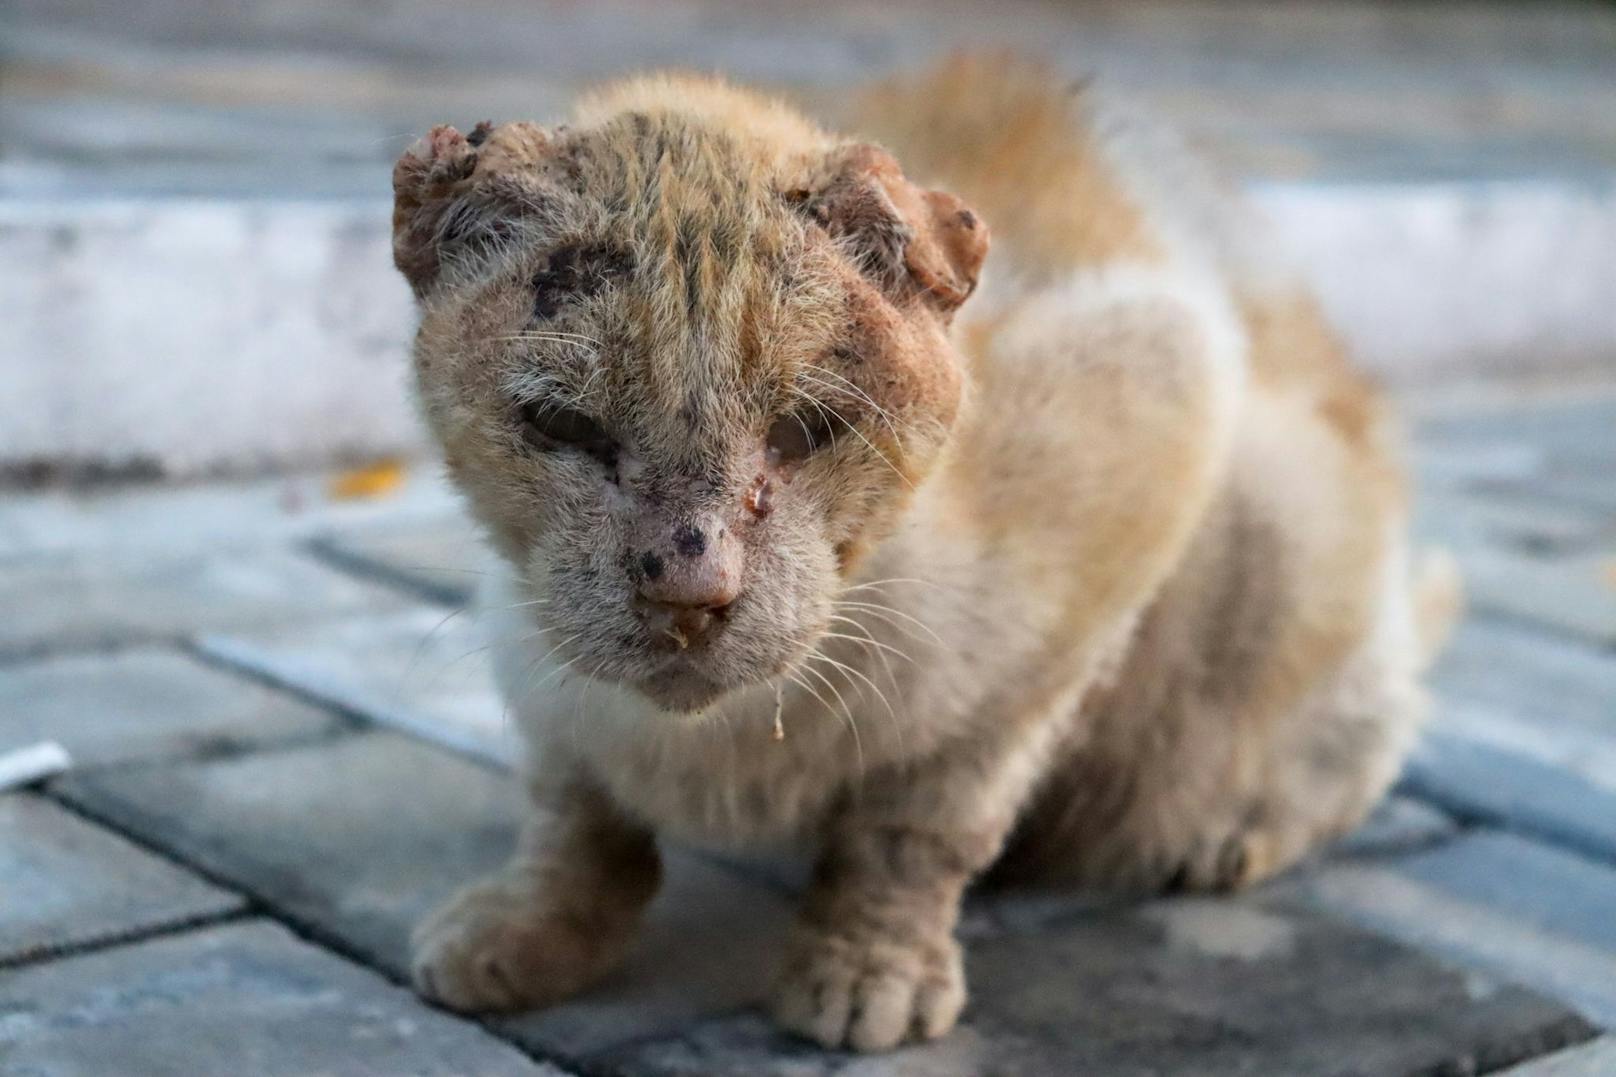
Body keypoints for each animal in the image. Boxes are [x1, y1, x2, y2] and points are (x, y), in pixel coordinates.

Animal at [394, 56, 1467, 1047]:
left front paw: (868, 970)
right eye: (564, 426)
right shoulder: (530, 653)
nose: (690, 591)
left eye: (801, 431)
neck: (721, 746)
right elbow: (572, 810)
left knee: (1363, 732)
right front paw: (520, 929)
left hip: (1279, 519)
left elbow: (919, 827)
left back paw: (1229, 833)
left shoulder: (1151, 429)